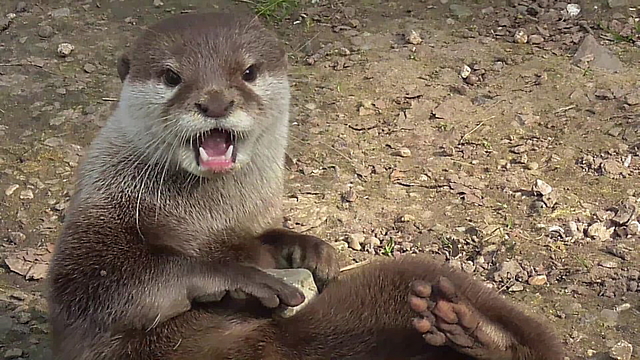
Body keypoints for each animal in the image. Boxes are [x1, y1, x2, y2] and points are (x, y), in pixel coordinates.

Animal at [46, 11, 564, 360]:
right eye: (172, 76)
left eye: (248, 71)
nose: (215, 101)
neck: (206, 221)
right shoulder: (99, 217)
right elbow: (98, 291)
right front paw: (236, 278)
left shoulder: (249, 223)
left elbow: (265, 239)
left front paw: (307, 250)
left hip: (406, 285)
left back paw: (471, 331)